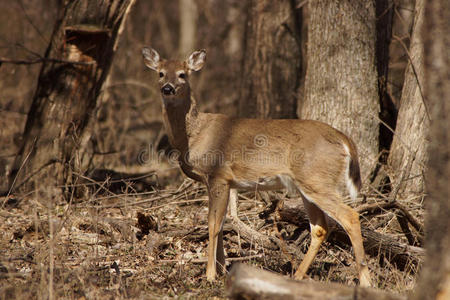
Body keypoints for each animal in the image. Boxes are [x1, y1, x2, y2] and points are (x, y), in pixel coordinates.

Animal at [142, 47, 370, 286]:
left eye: (182, 75)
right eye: (160, 73)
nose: (167, 88)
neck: (194, 135)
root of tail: (344, 139)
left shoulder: (219, 175)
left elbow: (213, 224)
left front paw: (210, 275)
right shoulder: (220, 181)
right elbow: (221, 223)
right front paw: (222, 271)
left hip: (317, 180)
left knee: (350, 217)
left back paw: (365, 281)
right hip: (309, 184)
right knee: (320, 227)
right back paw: (297, 276)